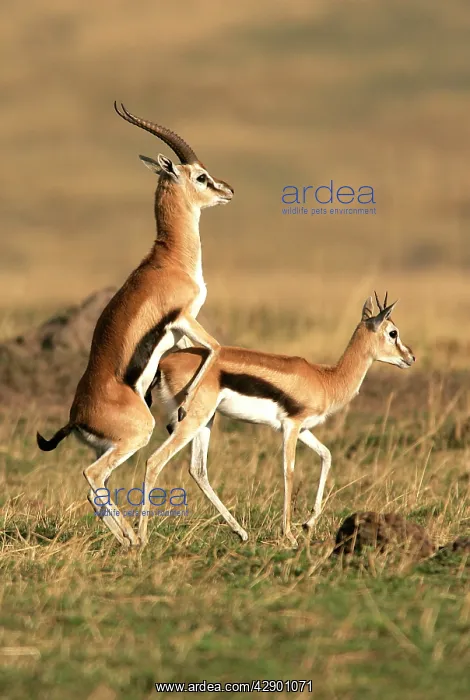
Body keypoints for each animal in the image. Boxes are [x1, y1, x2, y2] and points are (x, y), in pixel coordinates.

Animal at [36, 103, 233, 548]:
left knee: (98, 490)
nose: (227, 190)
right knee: (93, 478)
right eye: (201, 176)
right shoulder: (185, 317)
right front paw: (187, 399)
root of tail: (77, 416)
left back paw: (127, 538)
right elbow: (214, 347)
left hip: (107, 447)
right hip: (135, 437)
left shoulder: (179, 333)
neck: (170, 259)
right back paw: (135, 539)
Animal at [141, 293, 415, 549]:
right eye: (393, 333)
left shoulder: (303, 428)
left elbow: (326, 455)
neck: (325, 379)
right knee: (154, 461)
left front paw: (308, 523)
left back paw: (241, 532)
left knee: (197, 469)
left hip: (206, 421)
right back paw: (140, 538)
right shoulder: (290, 426)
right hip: (193, 420)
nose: (410, 357)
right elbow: (289, 472)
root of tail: (163, 363)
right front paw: (290, 535)